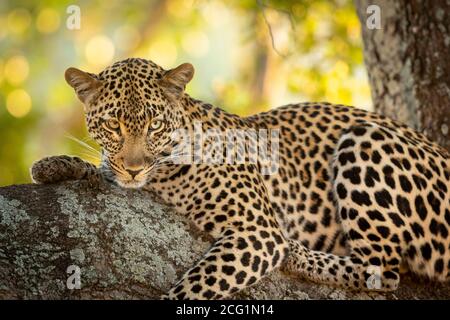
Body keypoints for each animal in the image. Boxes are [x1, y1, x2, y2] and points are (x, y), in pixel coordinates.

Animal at [31, 58, 450, 300]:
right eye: (112, 124)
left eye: (154, 125)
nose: (134, 167)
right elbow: (103, 170)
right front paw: (54, 165)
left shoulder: (257, 232)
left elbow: (193, 289)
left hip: (366, 138)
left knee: (382, 270)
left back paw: (299, 255)